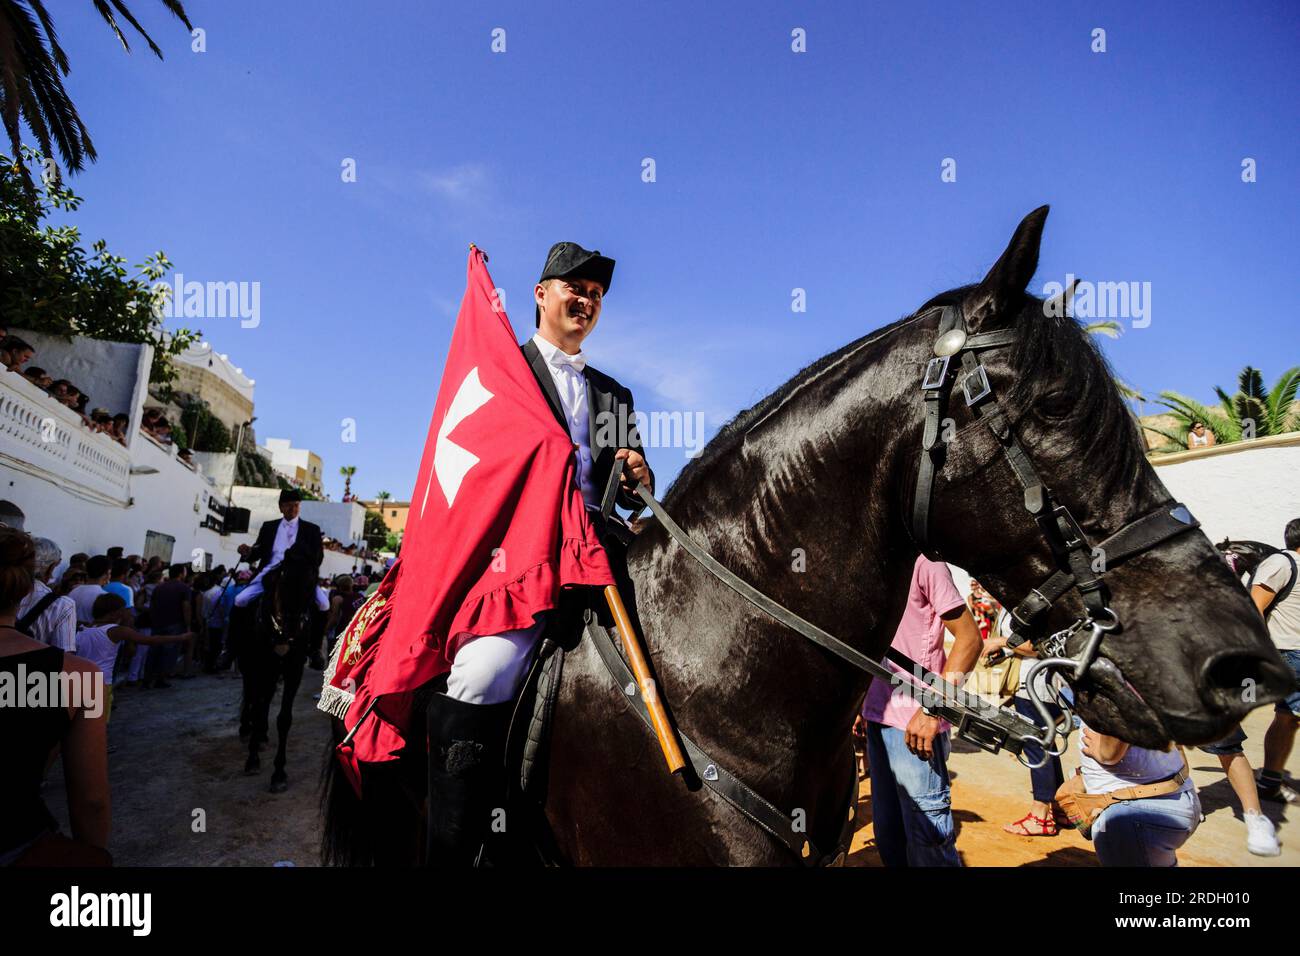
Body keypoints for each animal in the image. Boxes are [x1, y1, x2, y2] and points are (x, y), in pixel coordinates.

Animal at [240, 561, 318, 790]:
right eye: (282, 579)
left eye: (312, 583)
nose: (291, 630)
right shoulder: (260, 666)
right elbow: (257, 708)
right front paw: (252, 760)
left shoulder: (294, 670)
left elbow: (284, 718)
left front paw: (279, 773)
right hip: (248, 664)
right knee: (250, 694)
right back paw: (246, 729)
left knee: (264, 699)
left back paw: (262, 735)